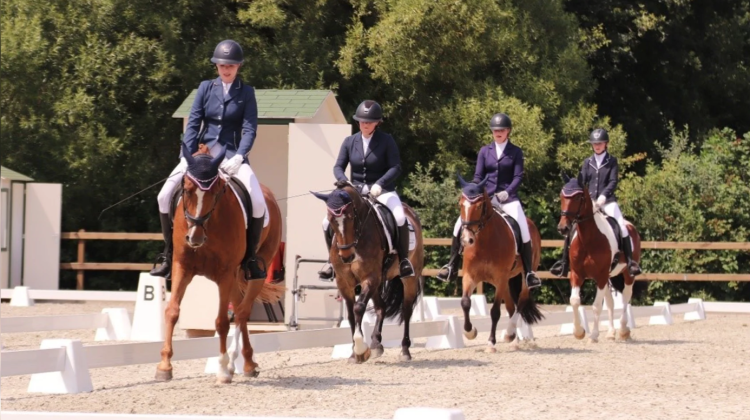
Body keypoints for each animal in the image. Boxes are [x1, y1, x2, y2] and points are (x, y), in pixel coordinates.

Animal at [154, 144, 284, 384]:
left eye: (216, 192)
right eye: (186, 189)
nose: (194, 238)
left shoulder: (225, 273)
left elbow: (222, 321)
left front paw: (222, 370)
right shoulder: (181, 266)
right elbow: (172, 311)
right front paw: (164, 366)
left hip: (255, 270)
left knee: (242, 312)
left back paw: (237, 363)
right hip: (233, 278)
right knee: (239, 308)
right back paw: (245, 363)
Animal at [314, 182, 426, 362]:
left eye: (351, 217)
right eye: (331, 220)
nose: (347, 256)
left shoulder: (370, 277)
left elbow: (359, 307)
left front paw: (360, 349)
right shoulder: (344, 282)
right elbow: (351, 315)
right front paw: (355, 353)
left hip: (409, 278)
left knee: (407, 310)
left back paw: (404, 350)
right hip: (379, 281)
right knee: (382, 307)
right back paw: (376, 344)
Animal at [458, 174, 548, 352]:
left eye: (479, 206)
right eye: (460, 204)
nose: (467, 240)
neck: (484, 241)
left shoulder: (500, 278)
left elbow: (494, 312)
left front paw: (491, 343)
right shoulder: (470, 276)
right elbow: (465, 302)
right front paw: (470, 332)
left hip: (523, 276)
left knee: (521, 302)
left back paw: (509, 333)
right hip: (506, 281)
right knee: (512, 307)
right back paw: (513, 339)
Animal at [560, 174, 644, 342]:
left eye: (578, 197)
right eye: (562, 196)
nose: (563, 228)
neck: (588, 239)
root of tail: (631, 226)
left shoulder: (600, 276)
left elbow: (596, 306)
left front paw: (593, 335)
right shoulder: (577, 274)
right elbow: (574, 301)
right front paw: (579, 332)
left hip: (626, 274)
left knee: (625, 298)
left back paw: (623, 330)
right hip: (608, 277)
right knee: (611, 303)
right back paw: (611, 332)